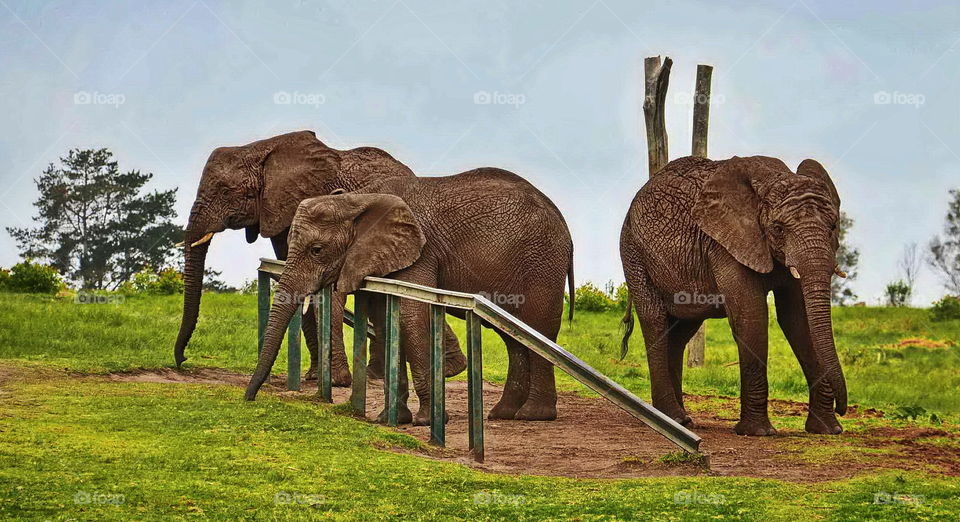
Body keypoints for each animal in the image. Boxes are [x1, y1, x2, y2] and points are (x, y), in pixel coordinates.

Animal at [173, 130, 465, 386]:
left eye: (225, 191)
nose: (183, 360)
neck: (262, 149)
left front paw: (335, 381)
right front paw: (315, 377)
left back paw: (446, 370)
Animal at [244, 168, 575, 425]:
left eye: (316, 250)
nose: (249, 399)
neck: (359, 199)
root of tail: (563, 223)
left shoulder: (421, 252)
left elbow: (410, 314)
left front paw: (427, 421)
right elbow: (385, 318)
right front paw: (390, 419)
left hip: (542, 260)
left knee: (538, 328)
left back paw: (534, 415)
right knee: (513, 336)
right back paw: (503, 413)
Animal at [619, 155, 848, 436]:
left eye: (833, 227)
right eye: (778, 228)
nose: (842, 408)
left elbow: (798, 320)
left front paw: (827, 430)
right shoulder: (725, 244)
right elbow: (751, 316)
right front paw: (758, 432)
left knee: (680, 331)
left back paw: (679, 420)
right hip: (633, 252)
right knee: (655, 321)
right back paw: (673, 418)